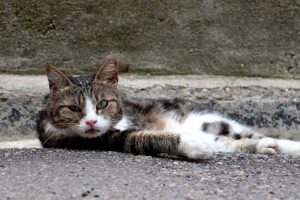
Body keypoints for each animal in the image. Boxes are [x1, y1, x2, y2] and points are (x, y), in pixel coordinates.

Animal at [37, 58, 300, 160]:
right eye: (73, 108)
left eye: (102, 104)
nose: (91, 121)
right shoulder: (103, 140)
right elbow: (149, 138)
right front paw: (192, 146)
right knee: (231, 141)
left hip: (208, 120)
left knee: (242, 134)